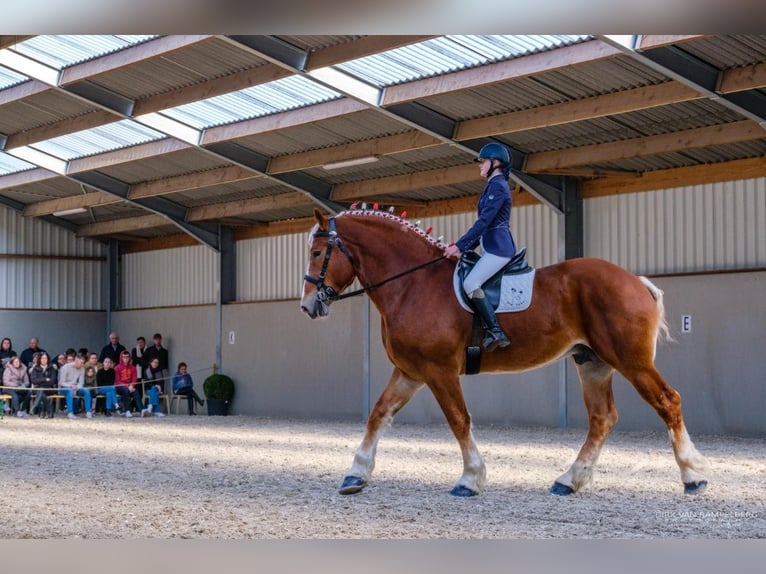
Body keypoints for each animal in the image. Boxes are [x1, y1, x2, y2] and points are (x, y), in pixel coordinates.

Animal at [300, 207, 709, 497]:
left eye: (318, 252)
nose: (308, 306)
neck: (412, 283)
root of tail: (633, 281)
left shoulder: (438, 370)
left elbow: (459, 420)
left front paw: (470, 478)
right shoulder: (411, 372)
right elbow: (377, 415)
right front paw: (355, 475)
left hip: (630, 360)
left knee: (667, 401)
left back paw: (693, 476)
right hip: (593, 364)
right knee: (602, 418)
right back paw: (569, 480)